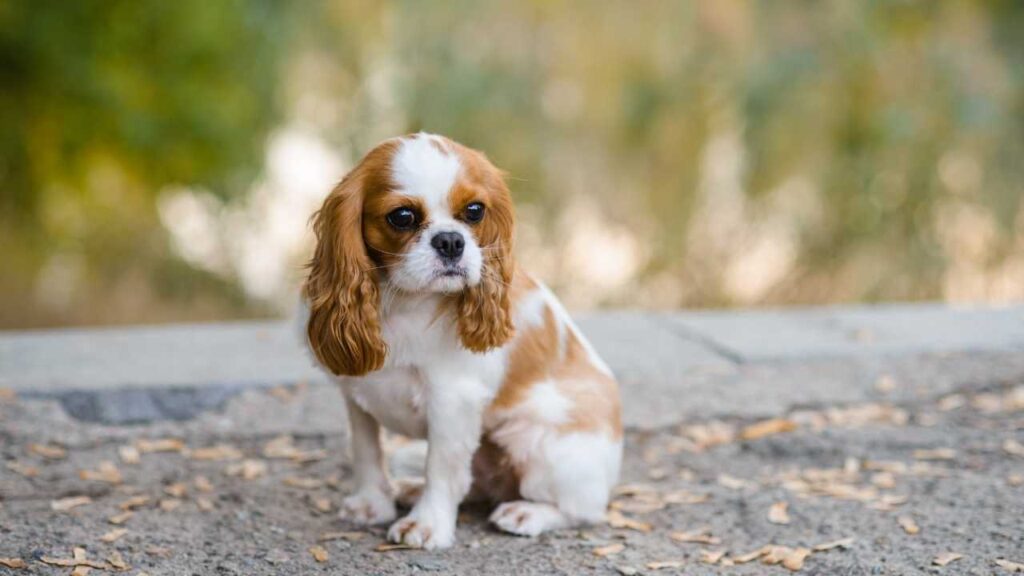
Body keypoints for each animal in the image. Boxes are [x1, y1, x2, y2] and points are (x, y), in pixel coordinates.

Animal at [301, 133, 622, 545]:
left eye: (474, 211)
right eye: (402, 217)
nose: (451, 241)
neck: (402, 301)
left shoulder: (452, 400)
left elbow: (441, 467)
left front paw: (427, 525)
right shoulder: (356, 394)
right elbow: (366, 450)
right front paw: (371, 503)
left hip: (538, 443)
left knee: (585, 510)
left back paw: (527, 513)